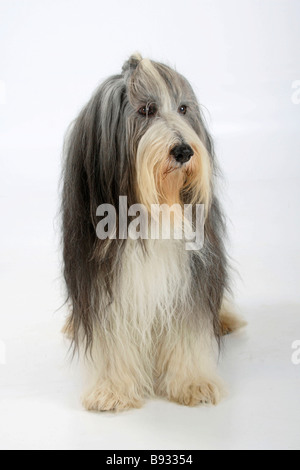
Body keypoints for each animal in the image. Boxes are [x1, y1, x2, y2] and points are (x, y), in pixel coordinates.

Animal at [61, 52, 246, 412]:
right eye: (146, 110)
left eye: (184, 108)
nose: (184, 151)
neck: (155, 210)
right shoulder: (103, 281)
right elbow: (112, 336)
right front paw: (112, 389)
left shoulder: (192, 276)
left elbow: (189, 329)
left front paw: (192, 383)